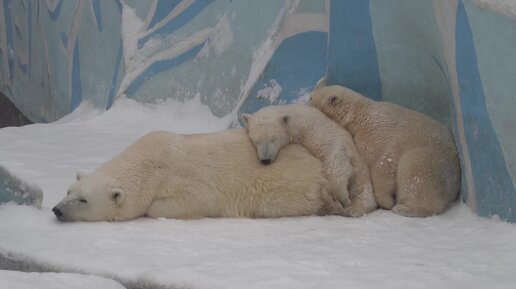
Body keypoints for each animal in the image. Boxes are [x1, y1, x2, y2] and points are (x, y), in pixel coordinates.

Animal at [51, 128, 346, 220]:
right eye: (68, 191)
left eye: (84, 200)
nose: (57, 210)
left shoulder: (187, 182)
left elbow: (183, 202)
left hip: (287, 191)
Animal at [308, 83, 462, 216]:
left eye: (312, 99)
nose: (306, 102)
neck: (362, 116)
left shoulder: (380, 135)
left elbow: (383, 164)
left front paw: (386, 202)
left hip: (434, 160)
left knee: (415, 172)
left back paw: (405, 208)